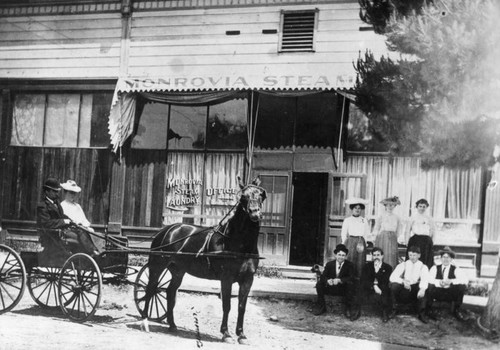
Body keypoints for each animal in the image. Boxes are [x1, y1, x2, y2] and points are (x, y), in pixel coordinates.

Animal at [138, 176, 266, 344]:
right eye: (243, 196)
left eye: (261, 195)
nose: (254, 213)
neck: (239, 244)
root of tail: (166, 230)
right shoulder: (226, 278)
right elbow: (227, 305)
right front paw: (226, 334)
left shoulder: (247, 279)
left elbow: (241, 307)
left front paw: (241, 335)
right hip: (157, 267)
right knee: (151, 289)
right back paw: (145, 321)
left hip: (178, 271)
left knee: (170, 292)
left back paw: (172, 325)